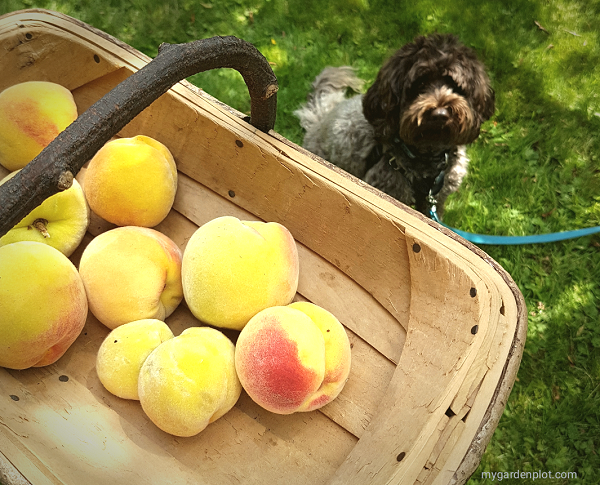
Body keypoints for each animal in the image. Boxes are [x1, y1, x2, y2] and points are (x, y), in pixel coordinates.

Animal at [296, 32, 496, 216]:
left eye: (455, 86)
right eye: (420, 84)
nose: (440, 114)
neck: (427, 155)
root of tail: (320, 119)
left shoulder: (436, 199)